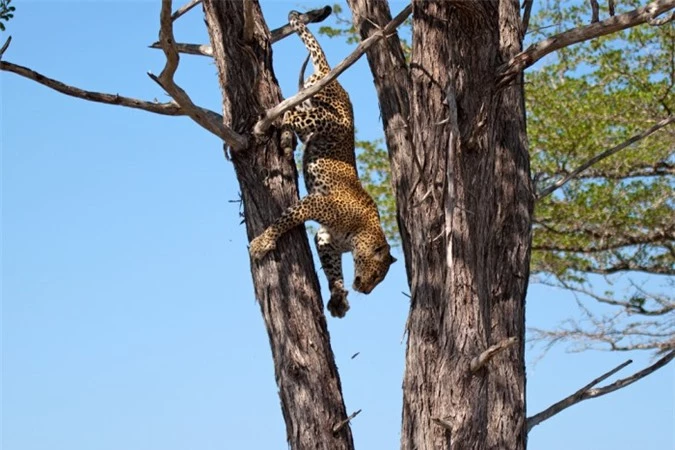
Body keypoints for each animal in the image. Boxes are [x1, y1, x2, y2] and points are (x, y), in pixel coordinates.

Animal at [248, 10, 396, 320]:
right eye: (377, 276)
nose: (366, 291)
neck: (358, 234)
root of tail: (332, 75)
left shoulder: (325, 237)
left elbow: (332, 269)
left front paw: (338, 297)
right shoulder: (315, 204)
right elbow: (283, 220)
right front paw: (262, 243)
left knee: (290, 110)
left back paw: (286, 140)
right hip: (323, 119)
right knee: (286, 110)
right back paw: (276, 132)